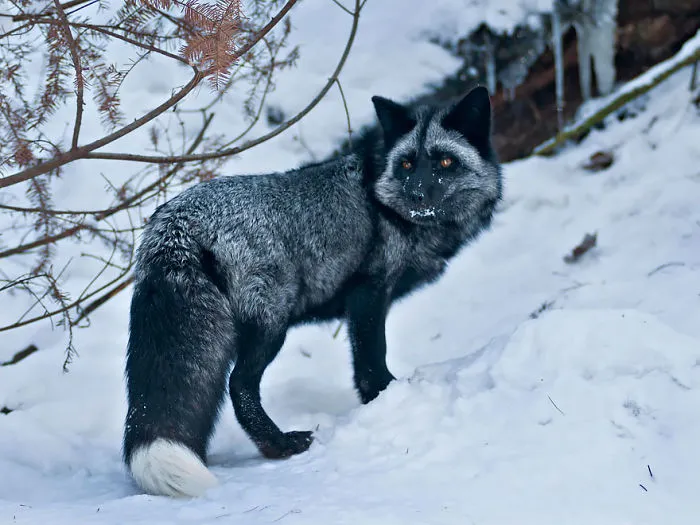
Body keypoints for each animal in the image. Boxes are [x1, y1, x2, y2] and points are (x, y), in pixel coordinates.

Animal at [123, 85, 502, 497]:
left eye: (445, 162)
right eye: (406, 165)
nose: (416, 194)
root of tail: (175, 226)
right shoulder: (368, 292)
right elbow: (371, 362)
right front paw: (385, 397)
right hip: (271, 324)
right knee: (239, 385)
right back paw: (281, 444)